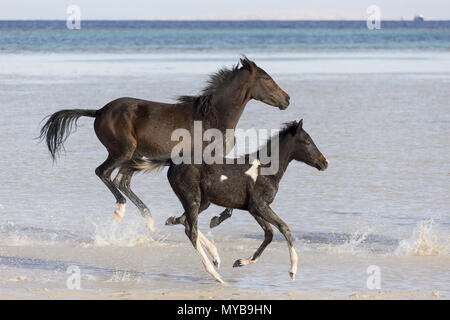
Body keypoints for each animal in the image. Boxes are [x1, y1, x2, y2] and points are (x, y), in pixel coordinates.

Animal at [40, 57, 290, 231]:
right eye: (266, 78)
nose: (287, 99)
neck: (214, 116)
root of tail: (99, 111)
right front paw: (203, 219)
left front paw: (205, 219)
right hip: (123, 150)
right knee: (103, 172)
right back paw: (121, 209)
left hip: (136, 156)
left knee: (122, 181)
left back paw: (149, 221)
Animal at [135, 120, 328, 282]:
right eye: (307, 141)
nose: (324, 162)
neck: (266, 170)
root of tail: (174, 162)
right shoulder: (259, 206)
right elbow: (284, 228)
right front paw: (292, 270)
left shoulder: (253, 209)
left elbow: (269, 233)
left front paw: (241, 262)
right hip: (193, 199)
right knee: (191, 231)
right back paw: (216, 275)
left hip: (202, 202)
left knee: (184, 221)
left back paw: (215, 257)